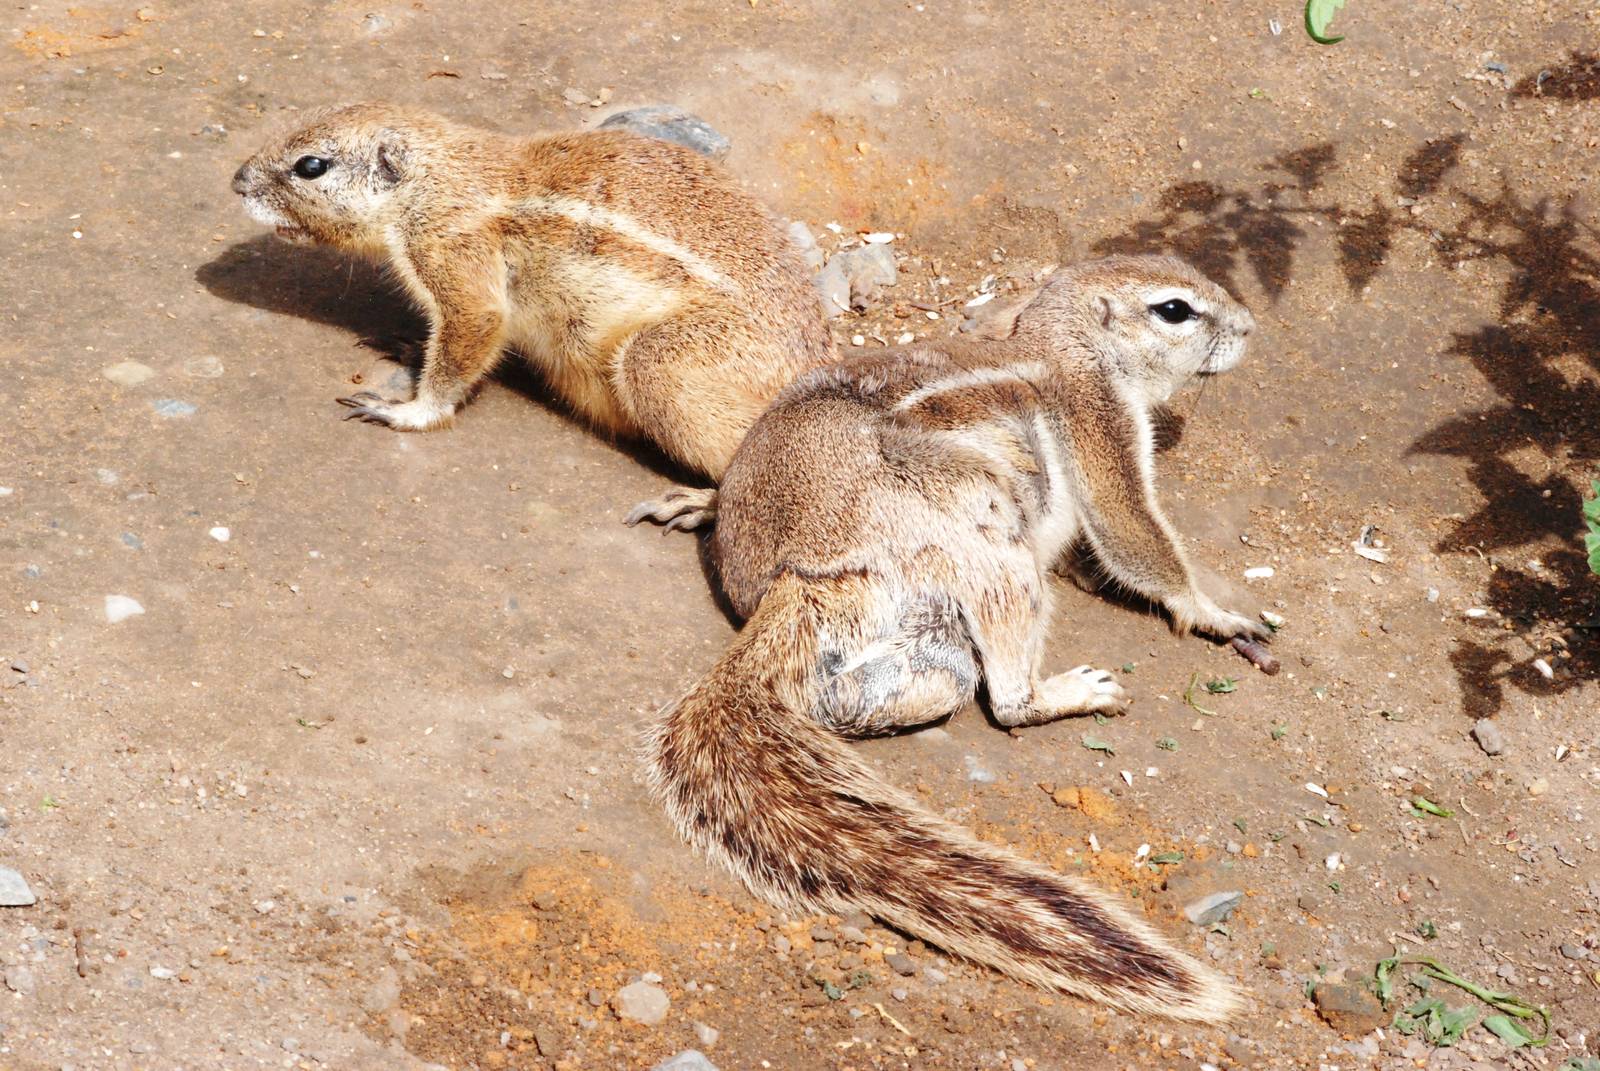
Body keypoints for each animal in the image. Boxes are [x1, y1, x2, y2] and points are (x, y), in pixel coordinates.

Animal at [230, 102, 833, 478]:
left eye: (311, 165)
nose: (236, 182)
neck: (438, 177)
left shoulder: (454, 255)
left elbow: (472, 332)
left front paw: (407, 410)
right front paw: (410, 347)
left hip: (658, 361)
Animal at [644, 255, 1265, 1020]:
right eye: (1174, 309)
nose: (1249, 328)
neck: (1061, 337)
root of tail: (791, 581)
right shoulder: (1102, 422)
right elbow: (1133, 532)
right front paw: (1216, 613)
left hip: (917, 649)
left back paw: (702, 503)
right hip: (984, 528)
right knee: (1007, 699)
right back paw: (1069, 692)